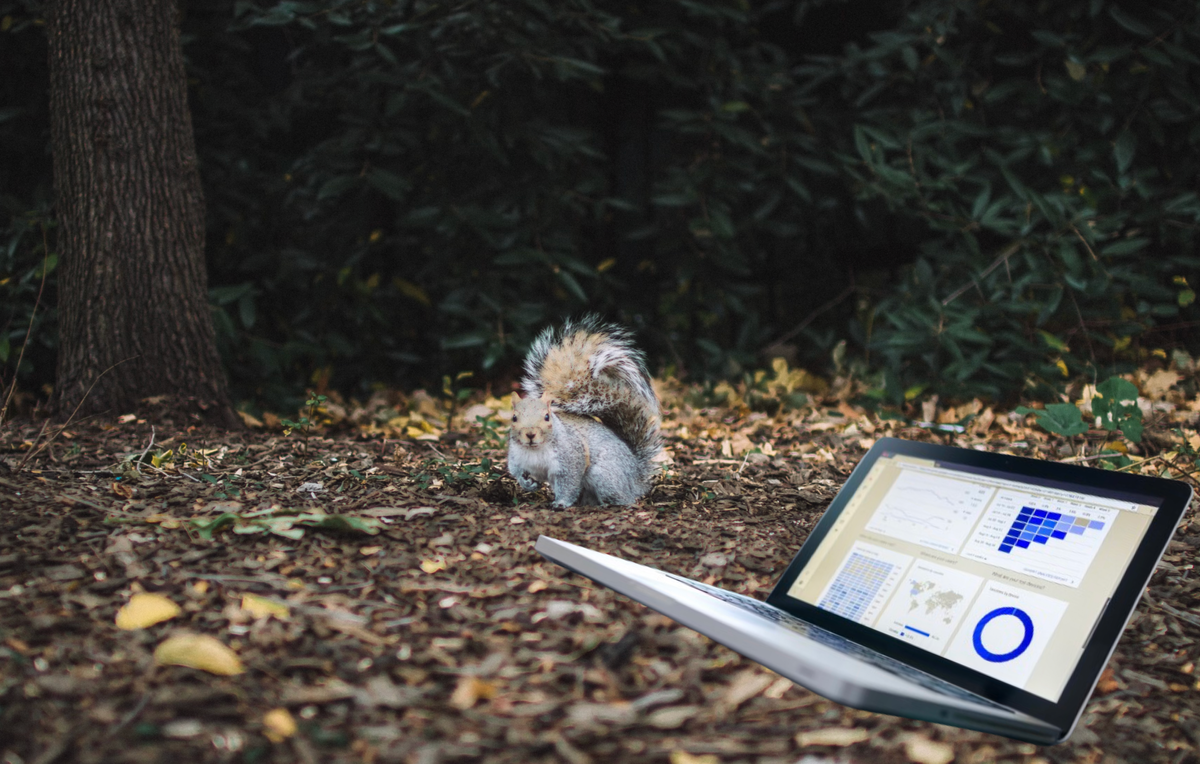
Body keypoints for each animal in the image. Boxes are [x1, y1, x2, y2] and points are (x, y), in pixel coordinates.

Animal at [504, 316, 662, 506]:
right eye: (514, 418)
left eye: (547, 417)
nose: (530, 434)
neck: (535, 449)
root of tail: (636, 477)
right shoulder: (517, 458)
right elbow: (517, 472)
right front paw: (527, 484)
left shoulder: (571, 457)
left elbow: (569, 483)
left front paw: (561, 503)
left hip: (605, 476)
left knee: (625, 498)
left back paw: (609, 503)